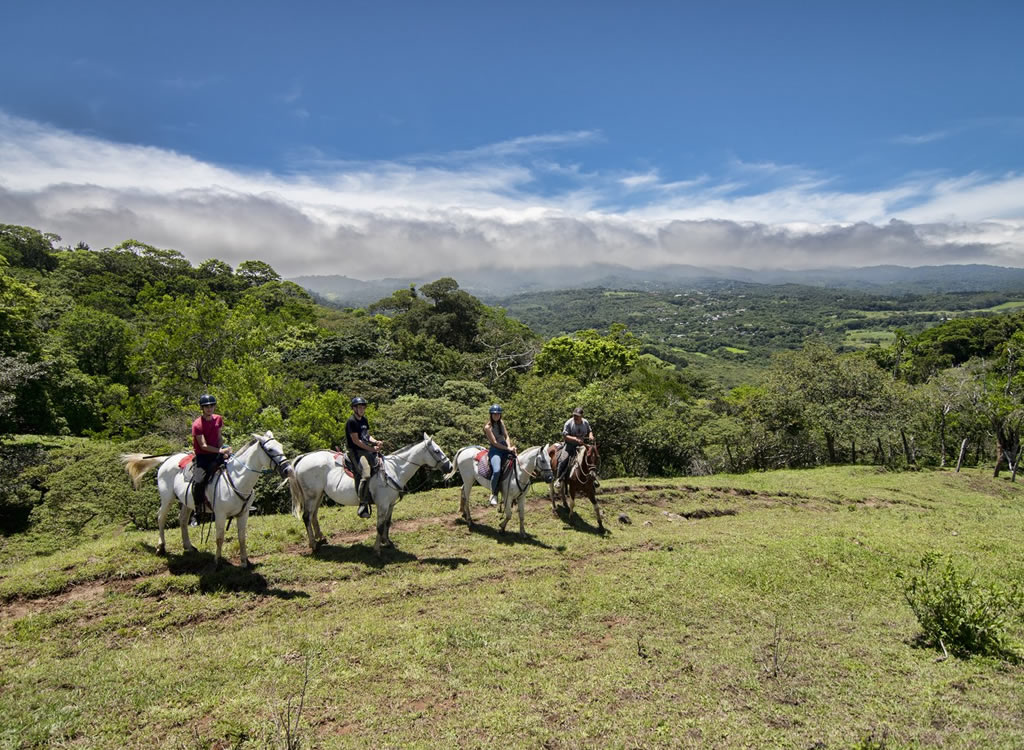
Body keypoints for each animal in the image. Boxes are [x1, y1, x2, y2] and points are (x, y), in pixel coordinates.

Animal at [123, 434, 294, 569]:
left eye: (280, 446)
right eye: (270, 450)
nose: (288, 470)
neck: (237, 480)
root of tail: (168, 458)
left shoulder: (243, 514)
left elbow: (242, 537)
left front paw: (245, 562)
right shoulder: (220, 515)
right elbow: (219, 538)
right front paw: (217, 562)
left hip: (187, 502)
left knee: (182, 519)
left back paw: (188, 546)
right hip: (167, 498)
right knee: (161, 518)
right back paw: (161, 548)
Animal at [286, 434, 450, 557]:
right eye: (436, 451)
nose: (449, 466)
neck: (394, 470)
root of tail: (303, 458)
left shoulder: (390, 504)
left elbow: (387, 523)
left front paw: (387, 542)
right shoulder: (382, 504)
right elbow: (379, 526)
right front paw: (377, 550)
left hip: (318, 495)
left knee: (313, 515)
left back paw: (320, 539)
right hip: (311, 495)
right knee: (307, 517)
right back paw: (314, 545)